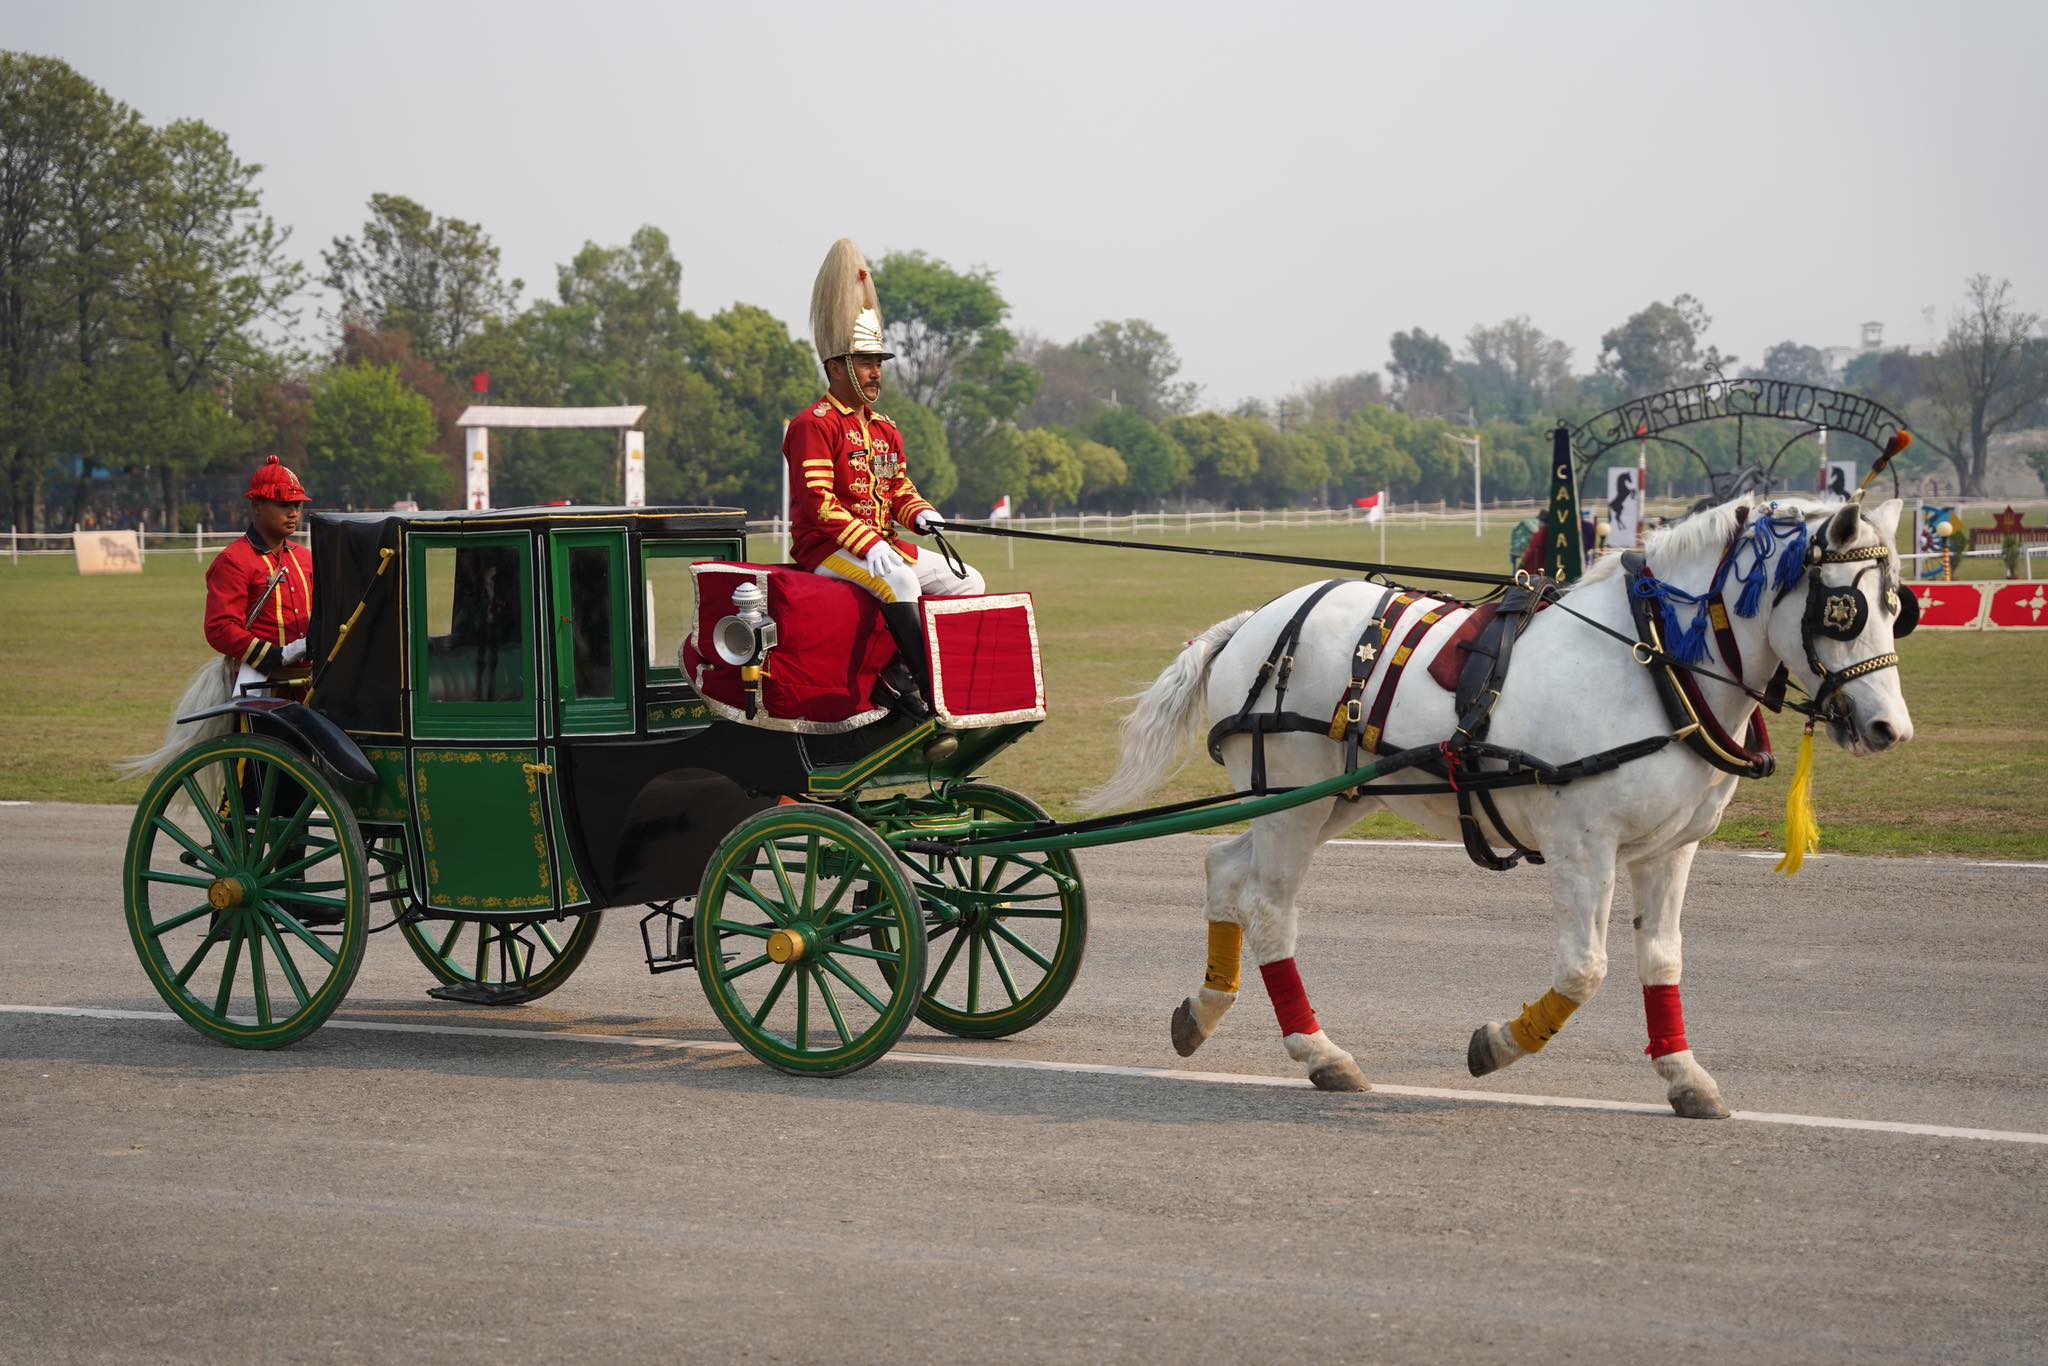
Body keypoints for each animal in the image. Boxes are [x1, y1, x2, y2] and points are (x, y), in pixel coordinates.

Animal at [1084, 495, 1916, 1117]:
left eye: (1897, 607)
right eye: (1842, 611)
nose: (1889, 729)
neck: (1649, 663)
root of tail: (1255, 622)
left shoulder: (1669, 850)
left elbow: (1660, 959)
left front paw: (1684, 1075)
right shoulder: (1582, 845)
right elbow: (1585, 969)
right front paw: (1500, 1042)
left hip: (1334, 797)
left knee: (1225, 868)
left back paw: (1204, 1008)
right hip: (1291, 799)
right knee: (1268, 907)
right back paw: (1320, 1052)